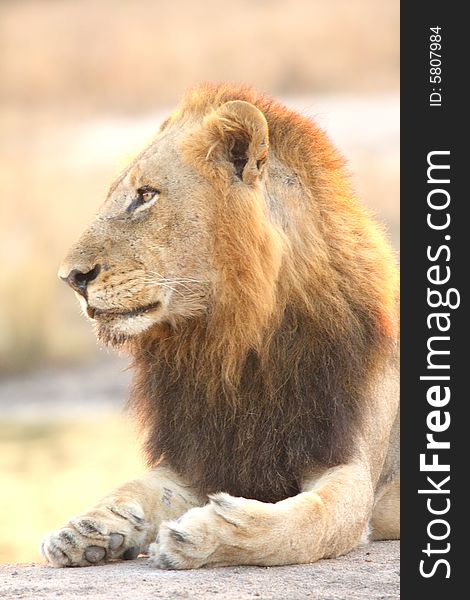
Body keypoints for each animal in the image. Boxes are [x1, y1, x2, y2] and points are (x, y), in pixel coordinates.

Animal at [41, 83, 400, 568]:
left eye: (146, 195)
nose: (71, 278)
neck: (233, 341)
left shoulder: (351, 469)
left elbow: (305, 523)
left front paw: (201, 534)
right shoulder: (200, 455)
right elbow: (137, 486)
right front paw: (86, 529)